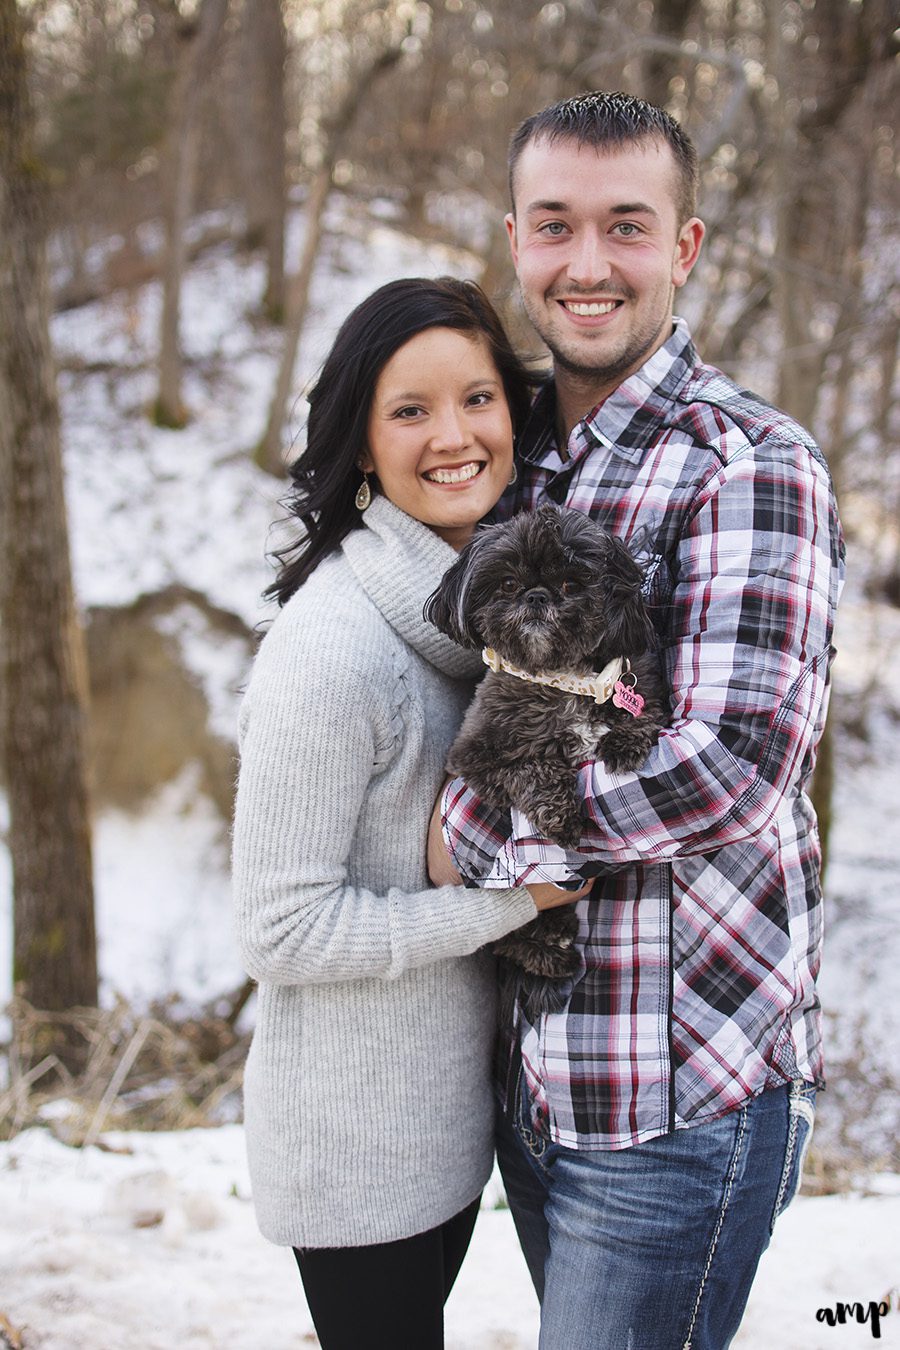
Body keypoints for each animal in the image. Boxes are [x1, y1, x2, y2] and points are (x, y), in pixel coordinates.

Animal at [426, 507, 666, 1015]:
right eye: (508, 584)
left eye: (573, 583)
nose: (537, 596)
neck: (565, 680)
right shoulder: (473, 758)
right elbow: (530, 767)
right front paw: (562, 817)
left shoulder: (640, 685)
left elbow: (644, 712)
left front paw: (624, 740)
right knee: (511, 939)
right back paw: (550, 952)